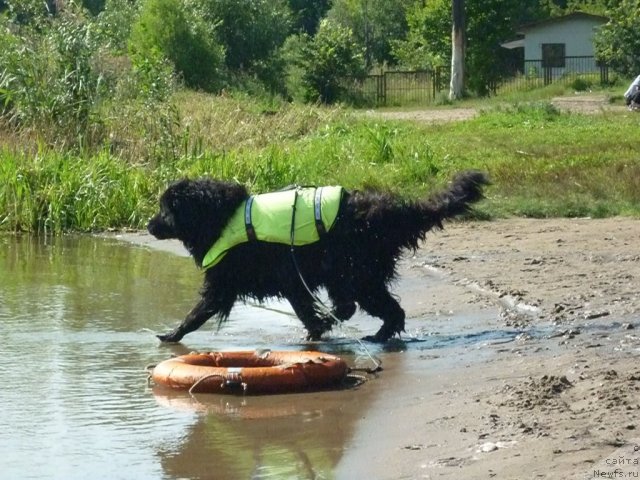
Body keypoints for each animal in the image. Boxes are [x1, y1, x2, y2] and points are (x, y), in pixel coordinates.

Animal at [148, 171, 488, 344]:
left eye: (166, 209)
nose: (149, 225)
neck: (221, 217)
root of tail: (390, 211)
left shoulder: (279, 279)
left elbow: (197, 312)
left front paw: (171, 335)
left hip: (356, 274)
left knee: (364, 307)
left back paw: (350, 328)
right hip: (351, 275)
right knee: (378, 309)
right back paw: (374, 335)